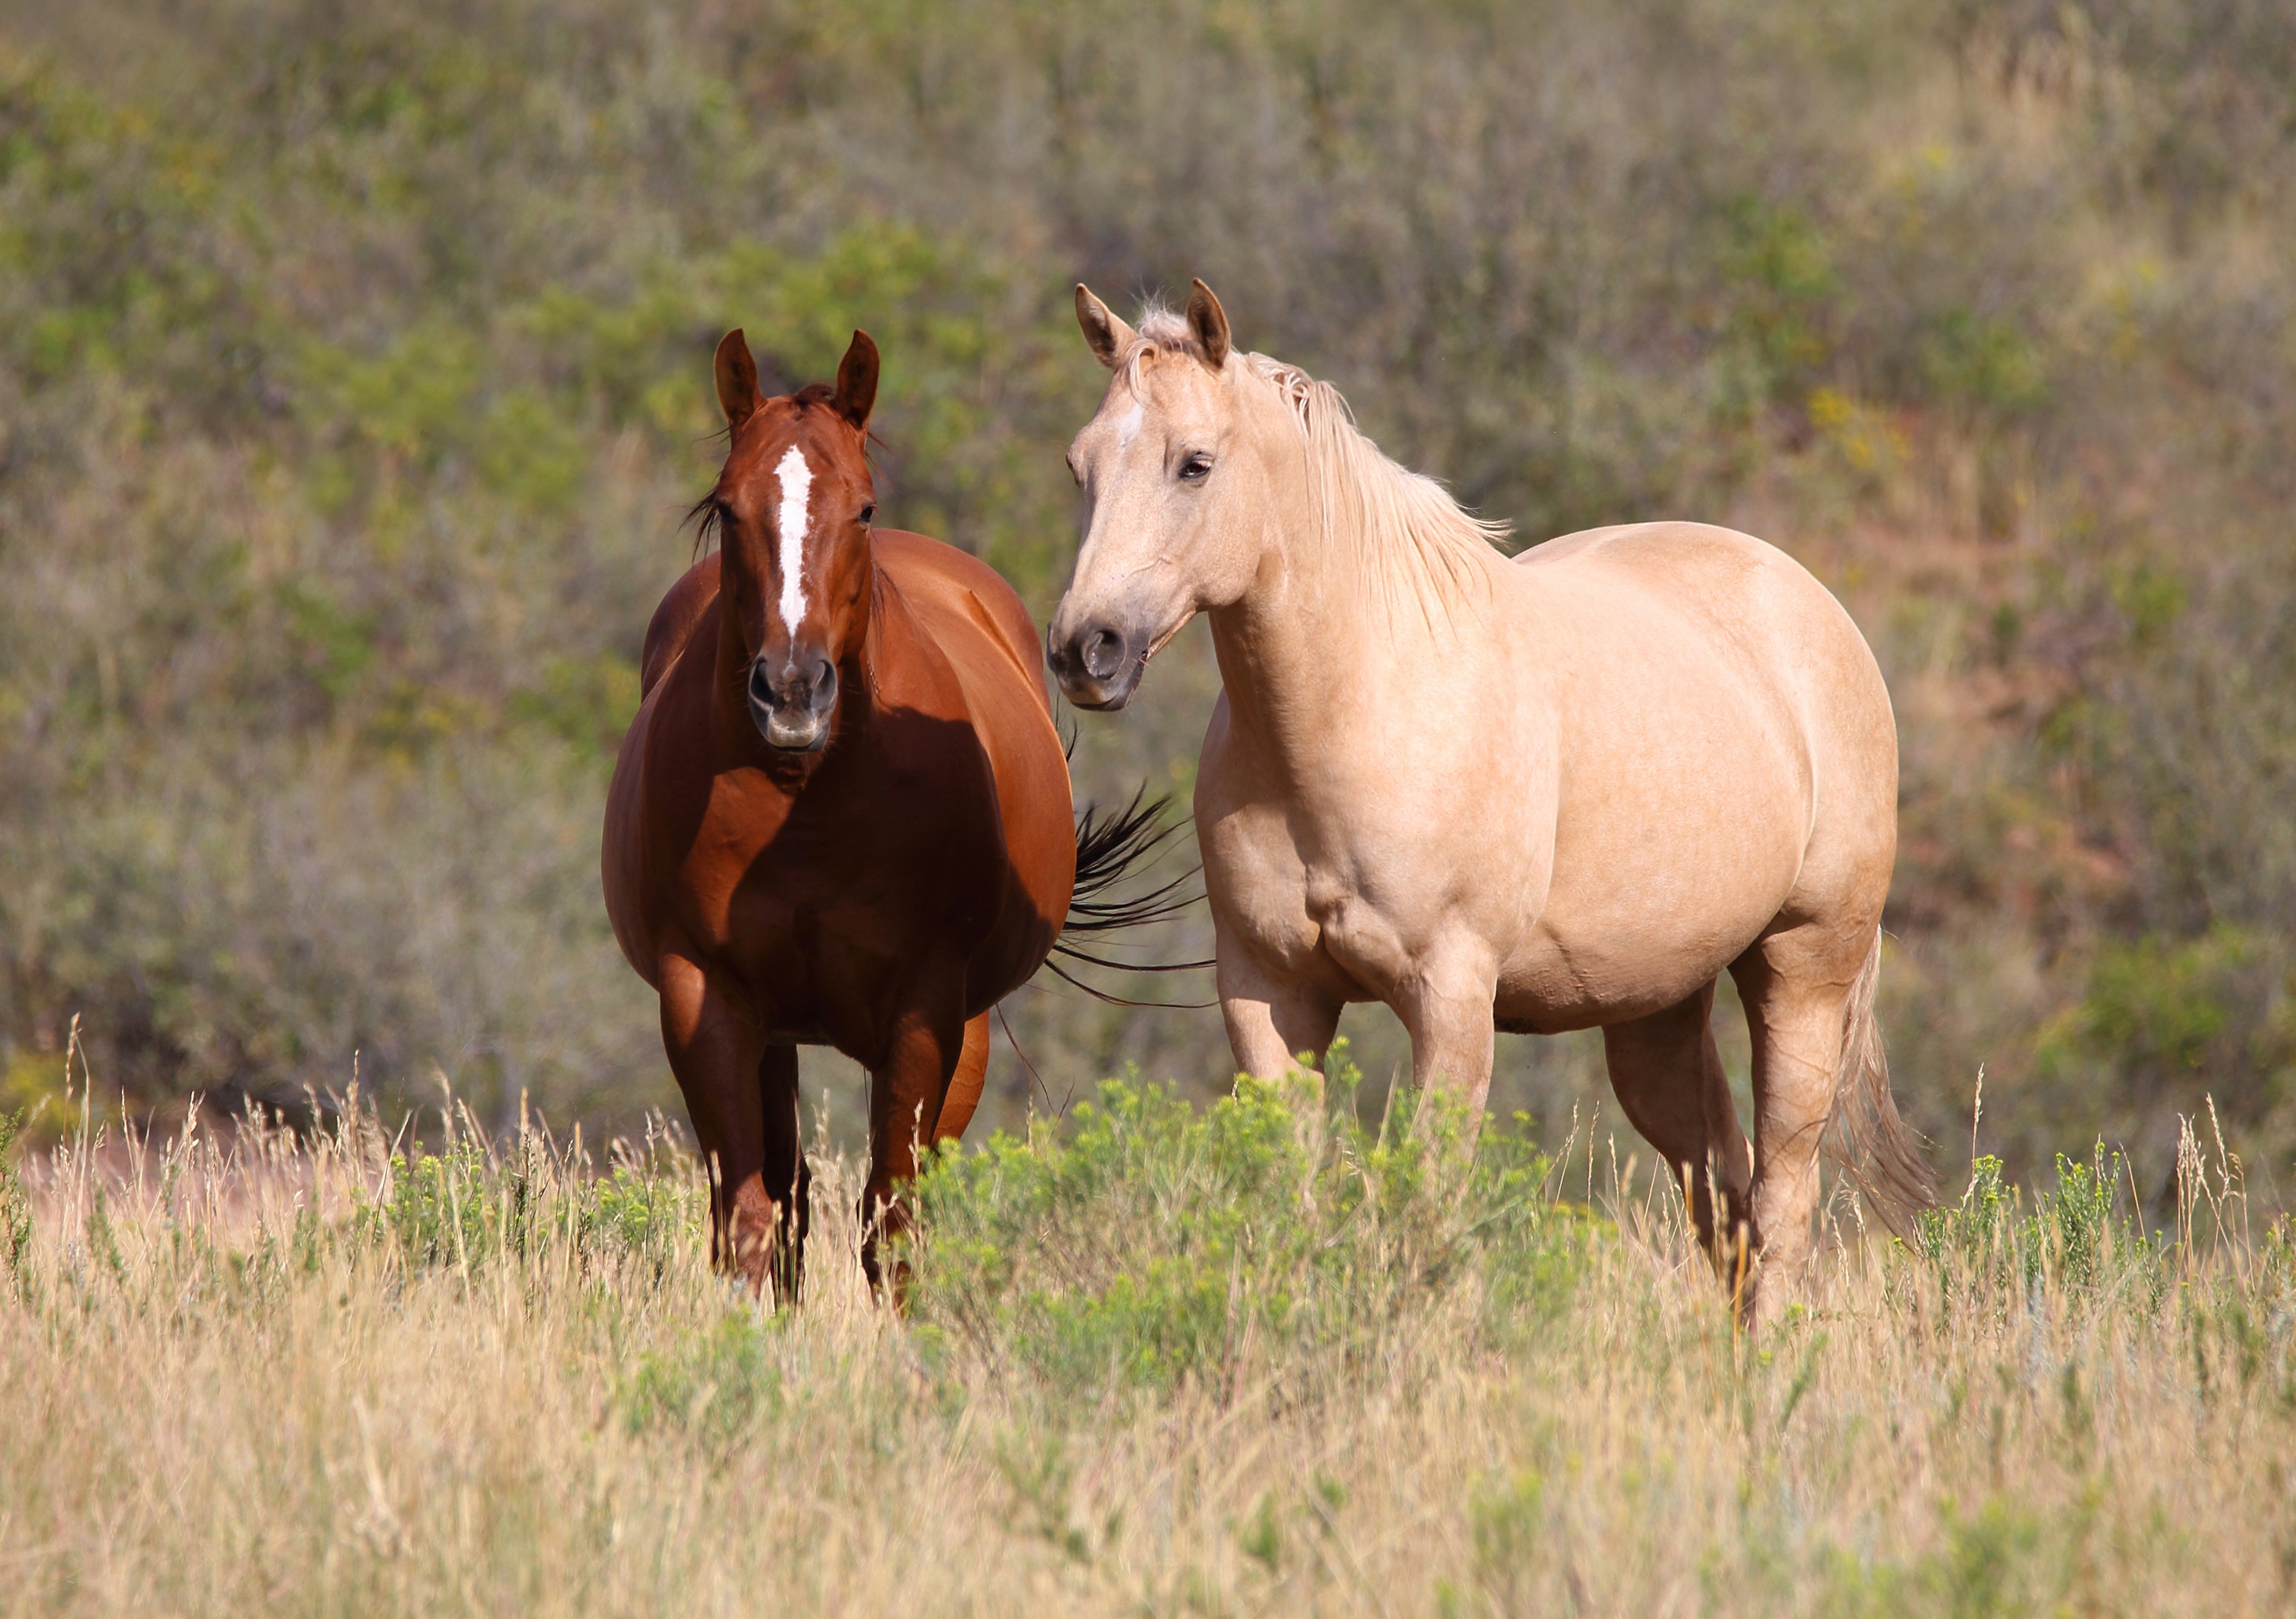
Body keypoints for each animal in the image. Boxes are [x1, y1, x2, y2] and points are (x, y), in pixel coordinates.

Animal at [606, 326, 1166, 1286]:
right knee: (785, 1197)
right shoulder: (705, 998)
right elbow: (748, 1220)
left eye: (862, 508)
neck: (807, 807)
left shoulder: (925, 1010)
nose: (793, 690)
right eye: (727, 507)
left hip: (964, 1035)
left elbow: (893, 1224)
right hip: (776, 1038)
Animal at [1052, 285, 1928, 1322]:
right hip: (1657, 1007)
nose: (1086, 649)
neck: (1358, 707)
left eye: (1195, 463)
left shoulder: (1451, 996)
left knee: (1785, 1194)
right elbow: (1291, 1195)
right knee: (1725, 1195)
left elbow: (1428, 1206)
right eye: (1080, 466)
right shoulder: (1269, 993)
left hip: (1803, 968)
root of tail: (1810, 605)